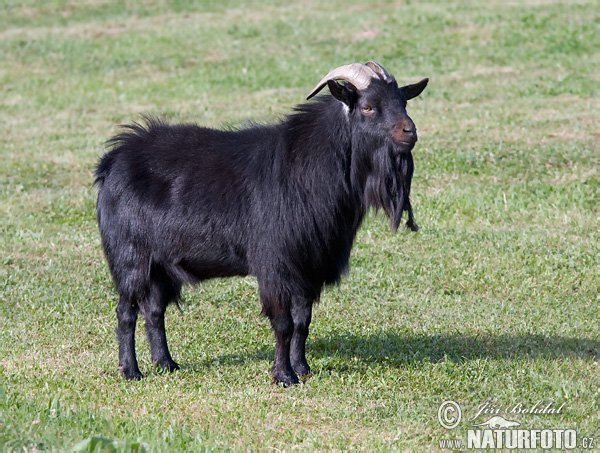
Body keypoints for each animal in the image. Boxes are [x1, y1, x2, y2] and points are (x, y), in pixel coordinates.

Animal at [95, 61, 426, 384]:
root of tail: (113, 161)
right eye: (368, 106)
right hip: (130, 256)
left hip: (160, 265)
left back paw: (166, 364)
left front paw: (302, 367)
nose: (409, 132)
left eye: (403, 102)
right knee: (126, 311)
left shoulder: (308, 265)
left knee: (154, 310)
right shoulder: (275, 265)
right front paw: (284, 376)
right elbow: (283, 324)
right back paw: (131, 372)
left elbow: (303, 322)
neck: (308, 168)